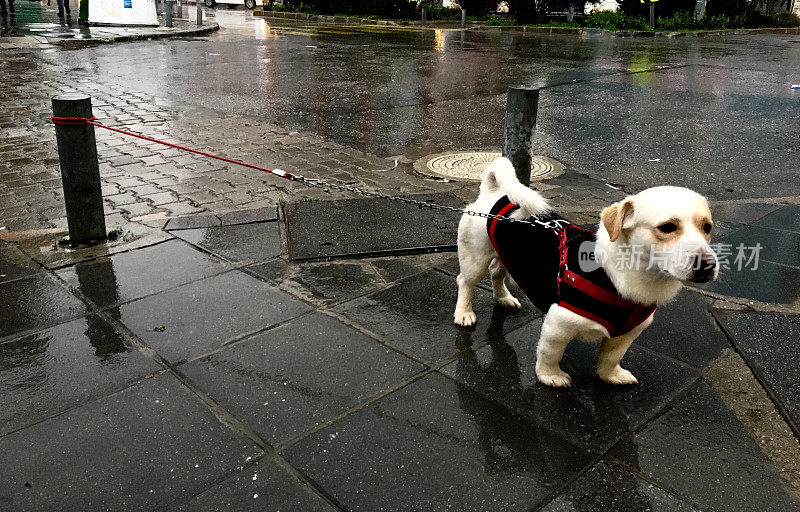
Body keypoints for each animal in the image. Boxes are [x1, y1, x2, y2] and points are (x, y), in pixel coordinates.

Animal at [456, 157, 720, 388]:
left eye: (707, 227)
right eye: (667, 227)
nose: (707, 264)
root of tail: (494, 193)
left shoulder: (628, 334)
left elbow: (611, 358)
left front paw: (610, 375)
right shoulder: (557, 326)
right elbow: (550, 354)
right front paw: (550, 376)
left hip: (504, 255)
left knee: (497, 273)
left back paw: (503, 298)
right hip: (475, 259)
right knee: (465, 282)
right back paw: (464, 313)